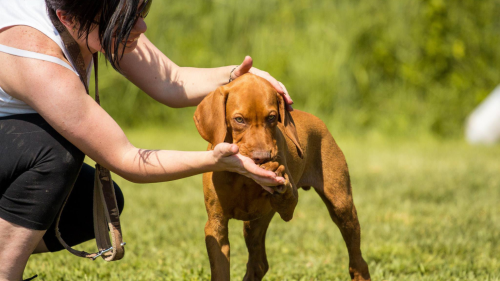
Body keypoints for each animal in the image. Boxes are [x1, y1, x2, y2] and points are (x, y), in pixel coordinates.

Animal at [193, 72, 370, 280]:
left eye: (272, 117)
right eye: (239, 120)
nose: (262, 157)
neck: (243, 178)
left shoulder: (288, 209)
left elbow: (287, 198)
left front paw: (279, 181)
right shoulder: (216, 224)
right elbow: (220, 269)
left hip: (341, 205)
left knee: (358, 258)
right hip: (252, 225)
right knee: (258, 264)